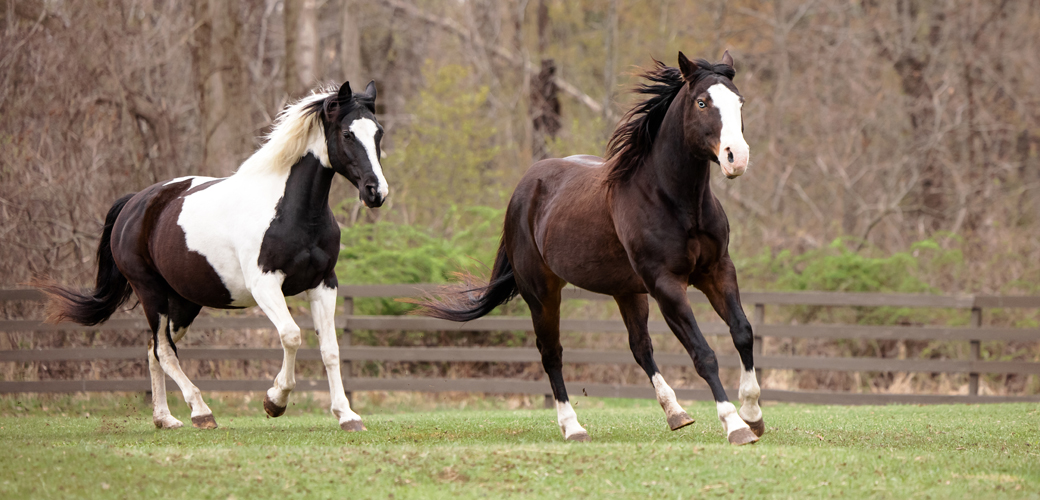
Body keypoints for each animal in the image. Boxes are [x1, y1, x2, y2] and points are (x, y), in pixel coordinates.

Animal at [37, 81, 386, 432]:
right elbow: (291, 336)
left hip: (184, 302)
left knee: (153, 349)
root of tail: (135, 203)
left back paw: (165, 418)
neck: (291, 212)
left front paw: (347, 415)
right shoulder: (265, 284)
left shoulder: (323, 283)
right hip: (151, 293)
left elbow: (330, 349)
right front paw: (275, 401)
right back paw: (201, 411)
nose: (376, 192)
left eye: (378, 133)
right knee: (164, 350)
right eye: (347, 134)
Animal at [414, 52, 762, 445]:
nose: (737, 157)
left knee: (640, 347)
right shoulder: (667, 285)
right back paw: (573, 427)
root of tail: (524, 188)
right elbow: (703, 354)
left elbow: (743, 332)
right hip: (542, 293)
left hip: (627, 291)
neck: (672, 198)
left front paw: (753, 414)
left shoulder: (717, 270)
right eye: (702, 102)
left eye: (739, 102)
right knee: (551, 354)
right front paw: (735, 425)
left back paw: (676, 413)